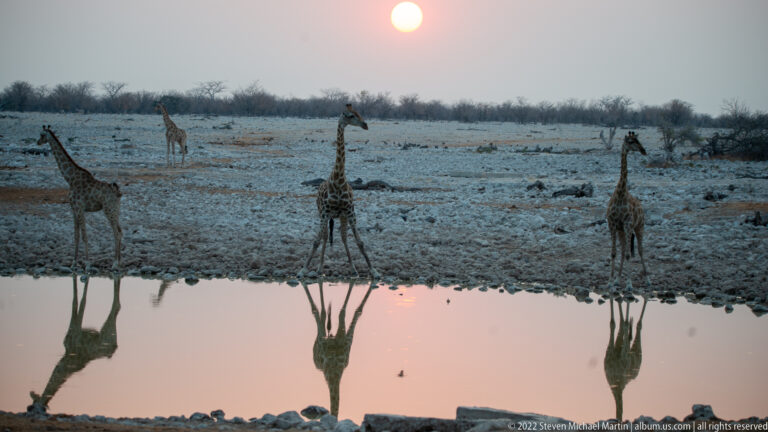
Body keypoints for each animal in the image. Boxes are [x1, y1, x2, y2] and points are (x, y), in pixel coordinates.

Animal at [29, 275, 121, 412]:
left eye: (38, 407)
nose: (33, 392)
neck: (66, 360)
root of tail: (113, 348)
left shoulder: (76, 331)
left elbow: (79, 302)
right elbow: (76, 297)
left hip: (108, 331)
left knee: (116, 307)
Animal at [37, 126, 123, 270]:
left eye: (42, 135)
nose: (37, 142)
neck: (70, 179)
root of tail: (117, 191)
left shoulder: (80, 208)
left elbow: (84, 235)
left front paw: (87, 264)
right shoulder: (73, 209)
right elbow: (76, 235)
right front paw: (73, 262)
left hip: (108, 210)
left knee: (116, 233)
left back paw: (115, 263)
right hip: (115, 210)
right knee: (120, 231)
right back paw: (119, 261)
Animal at [298, 104, 379, 279]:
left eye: (358, 113)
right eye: (350, 115)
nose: (365, 125)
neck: (338, 180)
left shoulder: (350, 211)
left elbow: (359, 242)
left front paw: (374, 271)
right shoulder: (325, 213)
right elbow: (316, 241)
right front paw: (302, 270)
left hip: (340, 216)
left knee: (342, 237)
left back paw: (353, 269)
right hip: (323, 214)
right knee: (324, 237)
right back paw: (319, 268)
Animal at [302, 281, 374, 417]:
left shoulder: (346, 339)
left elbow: (351, 312)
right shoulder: (322, 340)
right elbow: (317, 311)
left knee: (324, 313)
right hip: (319, 340)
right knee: (322, 313)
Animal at [606, 131, 649, 290]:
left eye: (638, 139)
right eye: (631, 141)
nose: (643, 150)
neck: (620, 194)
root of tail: (641, 206)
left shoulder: (628, 224)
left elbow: (630, 255)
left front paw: (629, 285)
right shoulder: (613, 225)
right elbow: (614, 253)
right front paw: (611, 281)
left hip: (639, 227)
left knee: (641, 250)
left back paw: (648, 280)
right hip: (622, 231)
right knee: (624, 248)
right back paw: (618, 280)